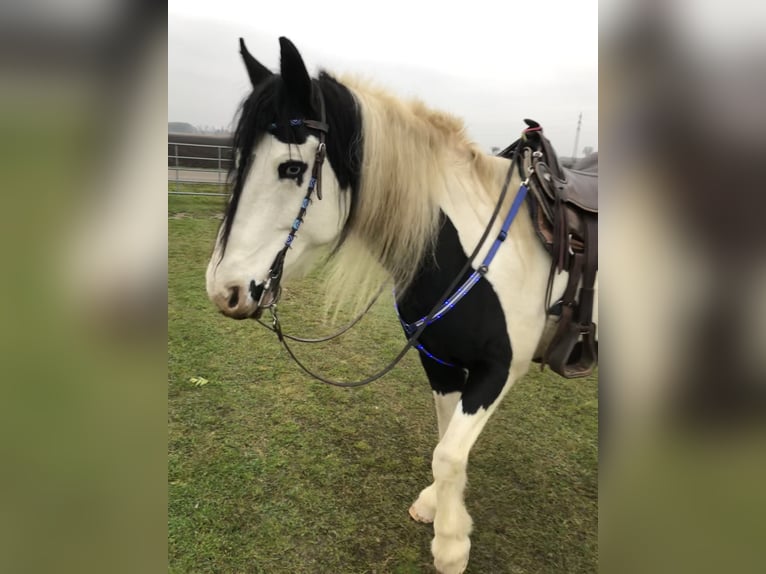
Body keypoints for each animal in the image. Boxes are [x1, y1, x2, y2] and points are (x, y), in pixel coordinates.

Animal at [206, 36, 598, 574]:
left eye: (291, 168)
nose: (223, 289)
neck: (469, 247)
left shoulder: (499, 369)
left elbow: (450, 454)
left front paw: (452, 545)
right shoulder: (440, 362)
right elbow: (445, 439)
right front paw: (438, 508)